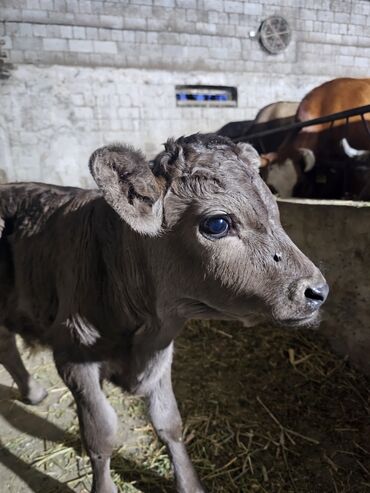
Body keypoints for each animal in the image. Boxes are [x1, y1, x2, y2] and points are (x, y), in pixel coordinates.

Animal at [0, 133, 330, 490]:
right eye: (217, 223)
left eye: (275, 212)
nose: (318, 291)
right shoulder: (73, 357)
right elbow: (100, 434)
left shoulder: (161, 353)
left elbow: (169, 421)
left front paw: (190, 484)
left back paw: (33, 393)